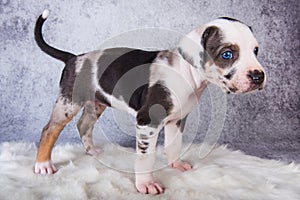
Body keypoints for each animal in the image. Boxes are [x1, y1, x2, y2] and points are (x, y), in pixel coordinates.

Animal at [34, 10, 266, 195]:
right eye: (227, 54)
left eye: (256, 50)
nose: (258, 76)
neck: (185, 72)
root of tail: (73, 58)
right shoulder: (147, 122)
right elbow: (146, 157)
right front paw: (145, 184)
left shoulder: (177, 119)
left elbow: (174, 144)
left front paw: (176, 164)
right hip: (68, 103)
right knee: (49, 130)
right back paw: (43, 165)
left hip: (96, 103)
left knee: (83, 124)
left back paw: (92, 151)